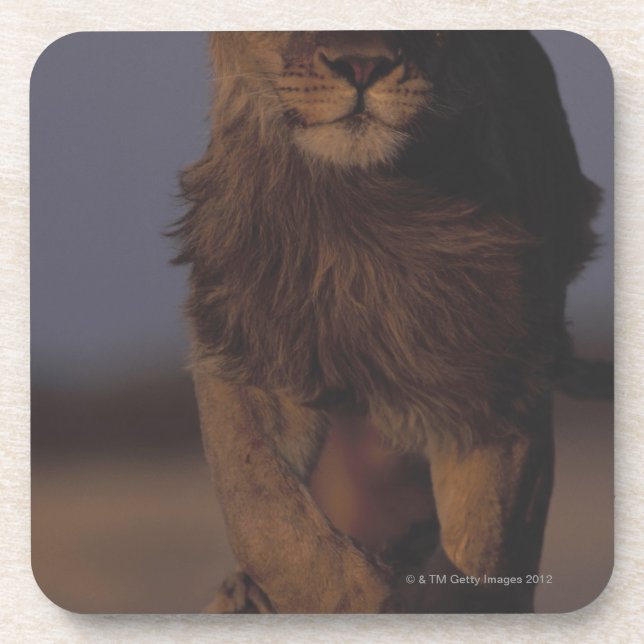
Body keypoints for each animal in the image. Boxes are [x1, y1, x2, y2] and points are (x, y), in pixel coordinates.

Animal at [173, 31, 605, 613]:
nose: (362, 66)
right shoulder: (248, 343)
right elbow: (262, 514)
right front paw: (360, 596)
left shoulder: (497, 382)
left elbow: (486, 546)